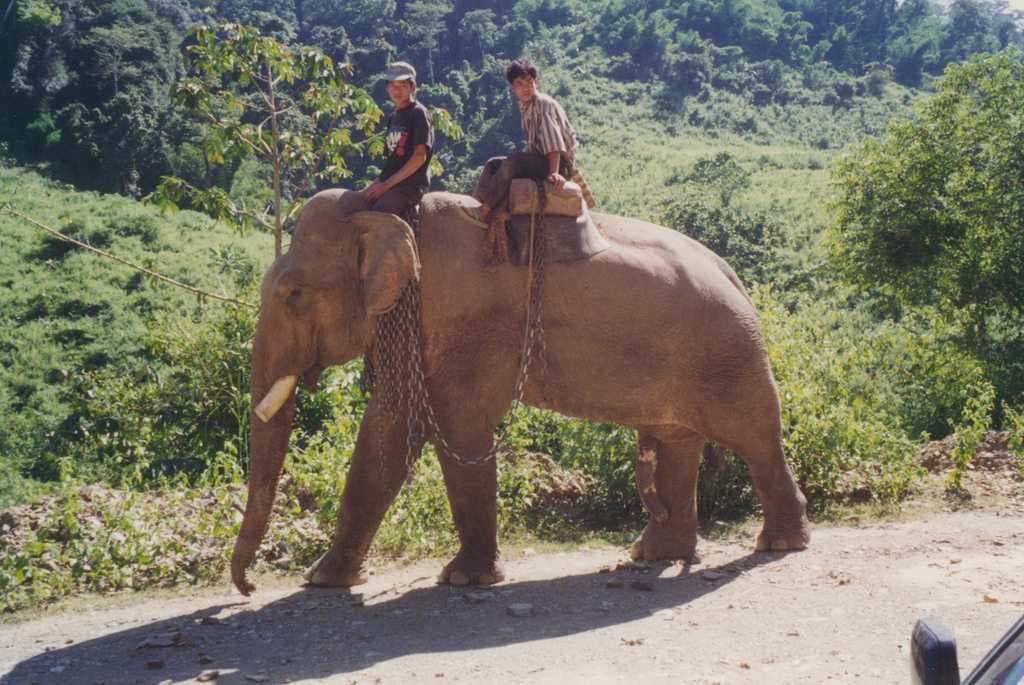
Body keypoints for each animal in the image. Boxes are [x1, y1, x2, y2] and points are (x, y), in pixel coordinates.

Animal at [230, 187, 809, 595]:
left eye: (294, 294)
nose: (248, 587)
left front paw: (465, 580)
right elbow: (389, 430)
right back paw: (653, 556)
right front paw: (324, 581)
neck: (387, 212)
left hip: (731, 353)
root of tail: (733, 273)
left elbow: (454, 429)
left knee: (757, 439)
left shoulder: (465, 328)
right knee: (678, 443)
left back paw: (779, 544)